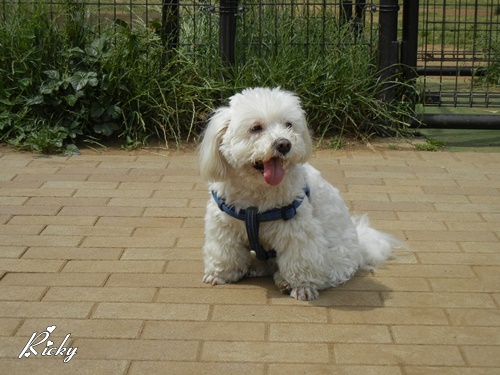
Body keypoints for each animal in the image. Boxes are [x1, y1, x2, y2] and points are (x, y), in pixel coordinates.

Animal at [197, 86, 400, 302]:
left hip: (334, 258)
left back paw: (284, 281)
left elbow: (299, 261)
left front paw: (301, 287)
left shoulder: (297, 230)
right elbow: (224, 252)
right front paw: (221, 274)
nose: (284, 144)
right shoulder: (224, 226)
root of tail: (361, 246)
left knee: (325, 274)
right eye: (256, 128)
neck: (256, 196)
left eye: (288, 125)